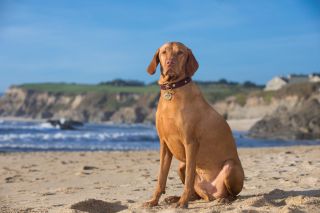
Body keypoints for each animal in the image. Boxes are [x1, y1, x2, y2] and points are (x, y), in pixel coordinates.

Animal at [143, 41, 245, 208]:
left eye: (180, 53)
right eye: (164, 52)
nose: (170, 62)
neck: (172, 89)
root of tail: (212, 194)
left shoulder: (190, 143)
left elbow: (189, 179)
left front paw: (182, 203)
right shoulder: (164, 144)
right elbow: (161, 178)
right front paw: (153, 201)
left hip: (231, 167)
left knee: (233, 195)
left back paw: (224, 199)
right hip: (181, 165)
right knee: (195, 194)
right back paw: (175, 198)